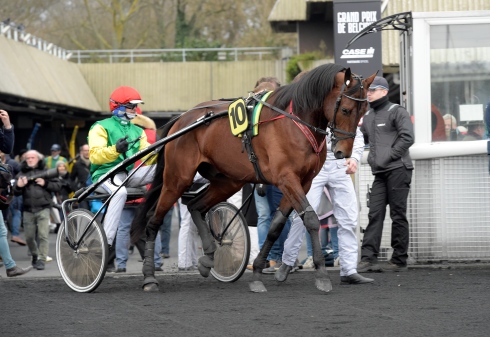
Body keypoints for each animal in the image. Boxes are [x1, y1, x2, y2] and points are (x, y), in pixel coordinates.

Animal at [130, 63, 376, 292]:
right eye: (346, 109)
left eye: (364, 109)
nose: (343, 152)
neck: (294, 122)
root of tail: (182, 119)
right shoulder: (286, 178)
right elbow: (311, 219)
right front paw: (322, 274)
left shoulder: (302, 182)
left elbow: (276, 226)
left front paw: (257, 271)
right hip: (177, 179)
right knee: (153, 220)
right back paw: (149, 277)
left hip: (228, 180)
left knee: (195, 206)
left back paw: (209, 256)